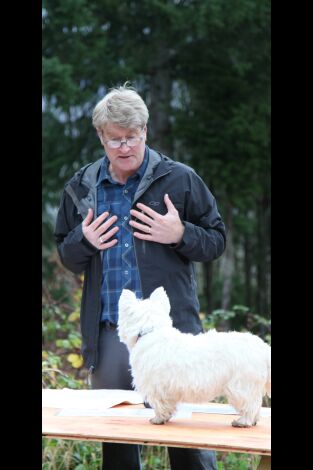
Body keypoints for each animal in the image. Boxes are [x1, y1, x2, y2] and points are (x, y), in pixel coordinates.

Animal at [118, 286, 270, 426]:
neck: (151, 331)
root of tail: (262, 348)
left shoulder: (155, 386)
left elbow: (160, 404)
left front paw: (158, 419)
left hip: (241, 386)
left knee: (250, 405)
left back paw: (243, 421)